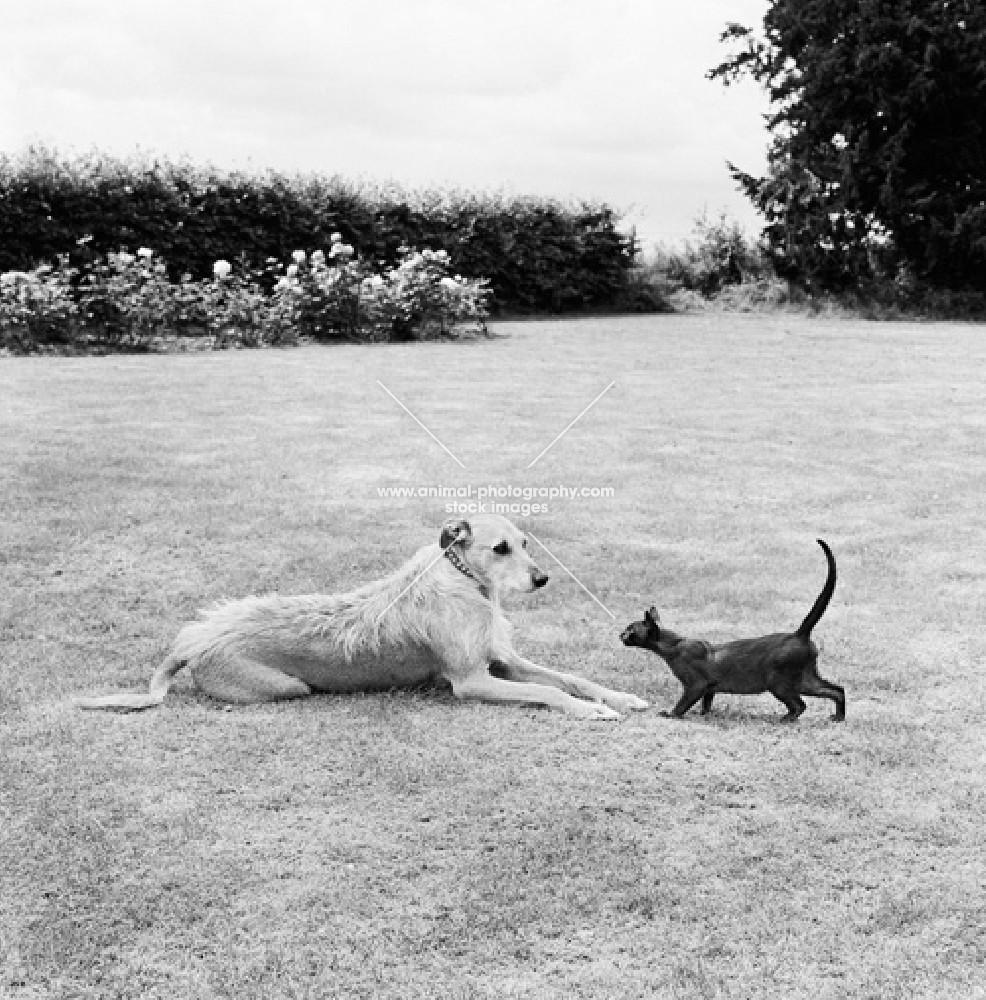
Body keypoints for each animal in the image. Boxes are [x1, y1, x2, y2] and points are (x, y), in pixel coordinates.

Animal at [77, 516, 644, 720]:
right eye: (500, 548)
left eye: (526, 543)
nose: (543, 579)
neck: (461, 579)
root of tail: (191, 640)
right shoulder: (472, 680)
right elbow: (549, 690)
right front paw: (591, 711)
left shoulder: (502, 660)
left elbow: (571, 676)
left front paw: (620, 697)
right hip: (285, 686)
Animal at [620, 544, 840, 724]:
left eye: (630, 629)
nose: (620, 633)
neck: (674, 646)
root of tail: (799, 634)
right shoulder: (709, 688)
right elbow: (706, 704)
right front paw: (704, 715)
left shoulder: (696, 685)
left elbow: (682, 705)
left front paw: (670, 714)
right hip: (805, 680)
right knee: (837, 690)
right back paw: (838, 717)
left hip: (779, 684)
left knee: (801, 705)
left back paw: (784, 719)